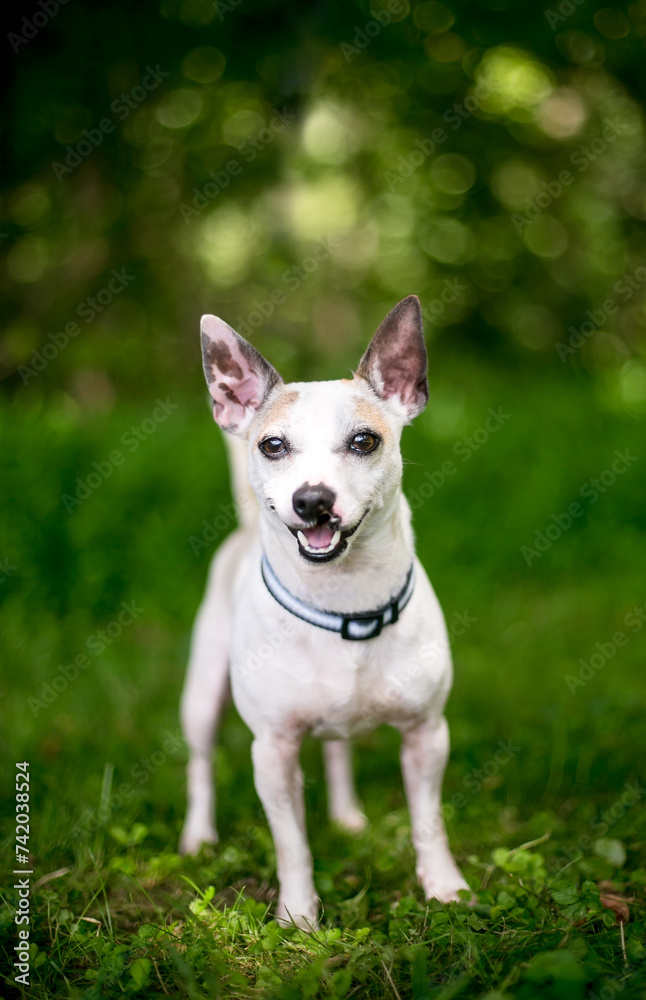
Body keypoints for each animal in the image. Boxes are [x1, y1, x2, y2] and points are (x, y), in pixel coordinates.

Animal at [181, 292, 470, 924]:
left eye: (364, 441)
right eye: (273, 445)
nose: (311, 499)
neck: (344, 603)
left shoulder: (427, 735)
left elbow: (429, 822)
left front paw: (444, 887)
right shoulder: (273, 754)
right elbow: (292, 845)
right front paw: (298, 917)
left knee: (338, 751)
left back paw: (346, 815)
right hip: (201, 697)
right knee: (201, 763)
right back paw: (198, 836)